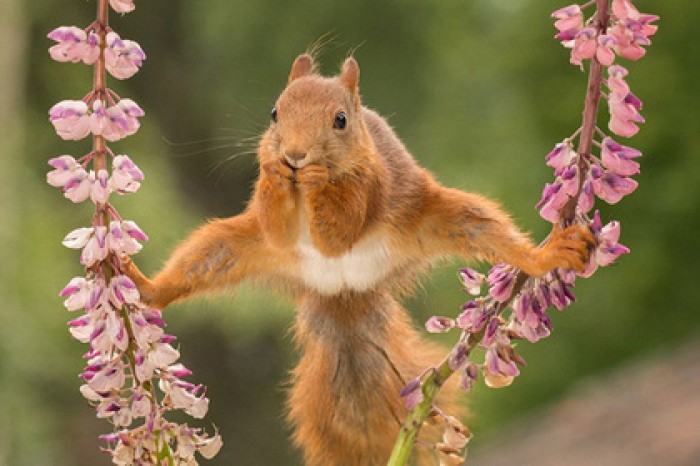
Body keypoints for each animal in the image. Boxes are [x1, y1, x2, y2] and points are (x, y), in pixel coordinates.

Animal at [123, 54, 592, 466]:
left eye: (340, 120)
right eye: (274, 113)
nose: (295, 156)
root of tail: (344, 291)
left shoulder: (372, 184)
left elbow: (341, 229)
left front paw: (316, 179)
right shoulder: (271, 228)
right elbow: (276, 226)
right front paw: (276, 172)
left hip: (442, 217)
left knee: (486, 229)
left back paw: (544, 255)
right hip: (228, 247)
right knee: (200, 261)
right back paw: (146, 287)